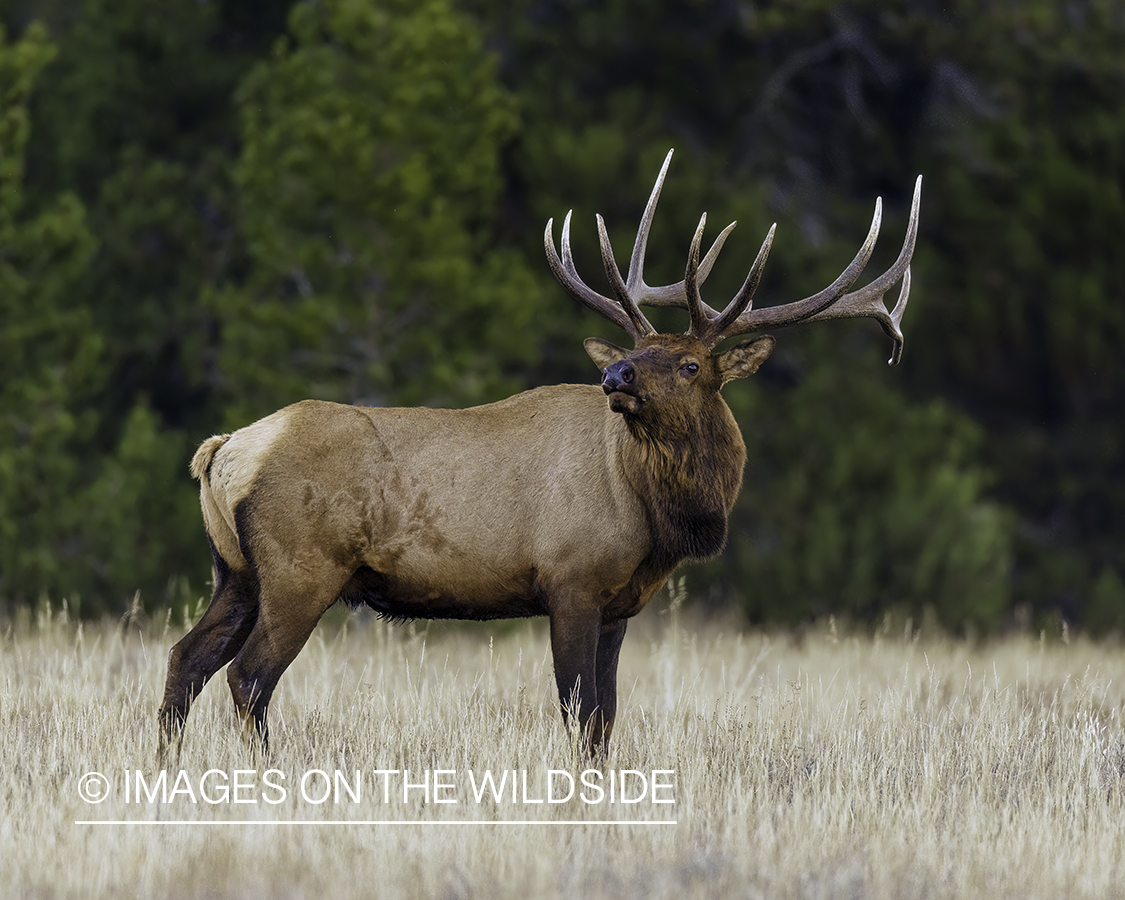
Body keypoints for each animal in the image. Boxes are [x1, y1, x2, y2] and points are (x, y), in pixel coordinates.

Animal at [158, 153, 918, 760]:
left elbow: (607, 715)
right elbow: (578, 710)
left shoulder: (620, 604)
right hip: (301, 568)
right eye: (639, 350)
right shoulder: (571, 578)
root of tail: (224, 451)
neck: (655, 519)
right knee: (247, 676)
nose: (615, 376)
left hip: (235, 571)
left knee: (186, 659)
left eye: (690, 364)